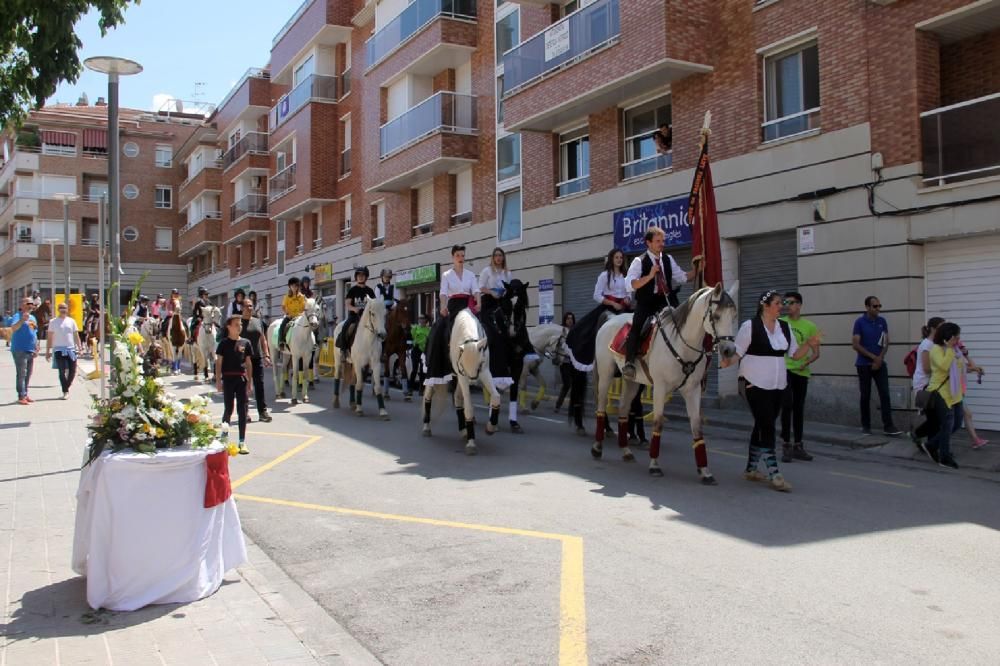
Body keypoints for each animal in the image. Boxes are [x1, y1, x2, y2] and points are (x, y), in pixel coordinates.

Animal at [420, 308, 500, 454]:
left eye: (480, 363)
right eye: (463, 364)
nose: (473, 382)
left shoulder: (484, 372)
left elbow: (496, 396)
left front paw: (490, 427)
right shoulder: (463, 376)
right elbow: (468, 407)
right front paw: (471, 443)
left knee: (457, 399)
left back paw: (464, 431)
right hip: (435, 375)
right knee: (428, 396)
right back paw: (427, 427)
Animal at [584, 282, 744, 482]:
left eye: (734, 316)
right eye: (716, 316)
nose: (729, 350)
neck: (682, 344)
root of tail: (611, 319)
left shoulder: (692, 390)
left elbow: (696, 426)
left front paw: (705, 471)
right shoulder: (660, 387)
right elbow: (658, 422)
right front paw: (654, 465)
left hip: (632, 381)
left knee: (623, 410)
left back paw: (626, 451)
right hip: (605, 374)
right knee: (601, 407)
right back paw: (597, 447)